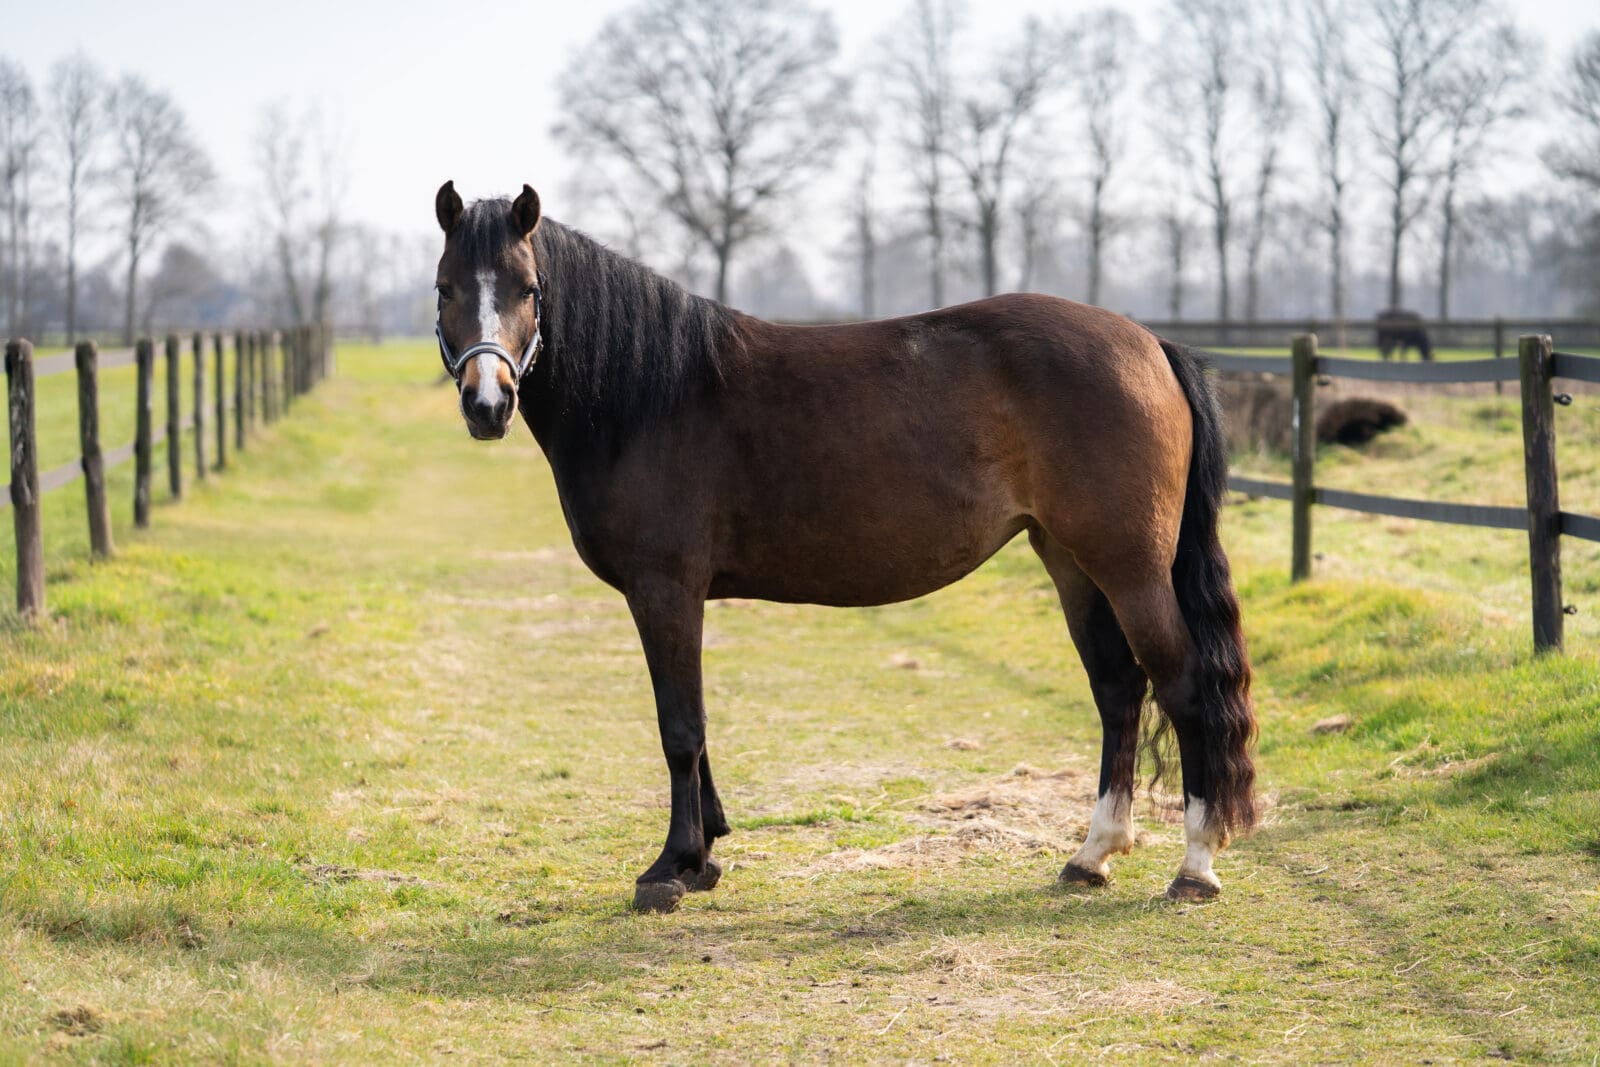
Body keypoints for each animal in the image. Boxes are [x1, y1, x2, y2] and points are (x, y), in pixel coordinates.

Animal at [431, 181, 1257, 913]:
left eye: (529, 289)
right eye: (444, 288)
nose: (487, 403)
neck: (647, 396)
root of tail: (1150, 343)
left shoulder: (664, 588)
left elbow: (679, 727)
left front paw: (671, 866)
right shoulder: (678, 596)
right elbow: (695, 723)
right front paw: (704, 855)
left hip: (1129, 566)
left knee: (1183, 685)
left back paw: (1195, 866)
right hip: (1070, 561)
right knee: (1118, 689)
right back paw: (1092, 855)